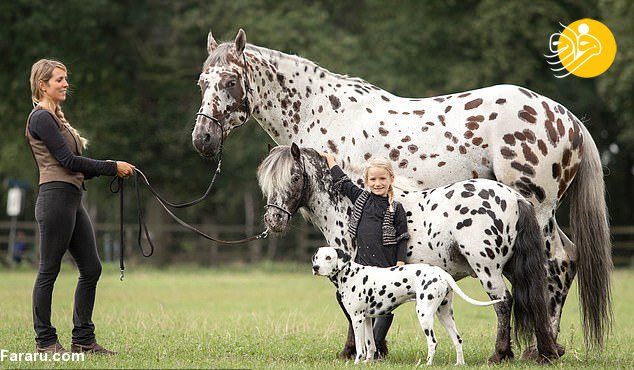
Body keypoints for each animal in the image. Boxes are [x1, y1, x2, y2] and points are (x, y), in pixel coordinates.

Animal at [312, 247, 498, 366]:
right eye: (317, 257)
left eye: (328, 257)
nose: (315, 267)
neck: (350, 274)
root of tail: (441, 273)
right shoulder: (367, 319)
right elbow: (370, 344)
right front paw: (368, 362)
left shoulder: (357, 319)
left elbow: (359, 346)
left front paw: (358, 362)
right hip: (444, 315)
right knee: (457, 339)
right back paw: (459, 364)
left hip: (424, 315)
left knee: (433, 342)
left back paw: (427, 364)